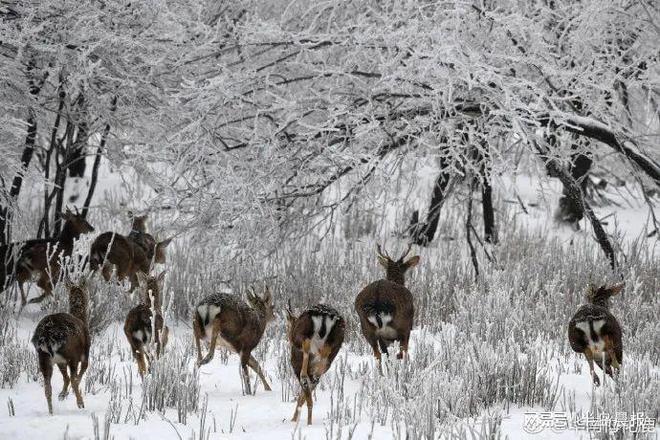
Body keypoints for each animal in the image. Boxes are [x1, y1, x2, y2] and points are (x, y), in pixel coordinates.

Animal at [30, 276, 90, 414]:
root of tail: (46, 336)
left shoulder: (60, 360)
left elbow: (65, 377)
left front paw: (62, 395)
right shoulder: (85, 354)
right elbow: (79, 375)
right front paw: (68, 394)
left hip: (44, 357)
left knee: (48, 387)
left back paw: (51, 412)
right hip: (71, 353)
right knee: (73, 379)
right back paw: (80, 403)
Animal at [354, 244, 420, 372]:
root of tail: (377, 299)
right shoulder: (407, 329)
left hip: (367, 329)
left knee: (378, 354)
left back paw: (381, 374)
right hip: (402, 325)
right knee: (401, 352)